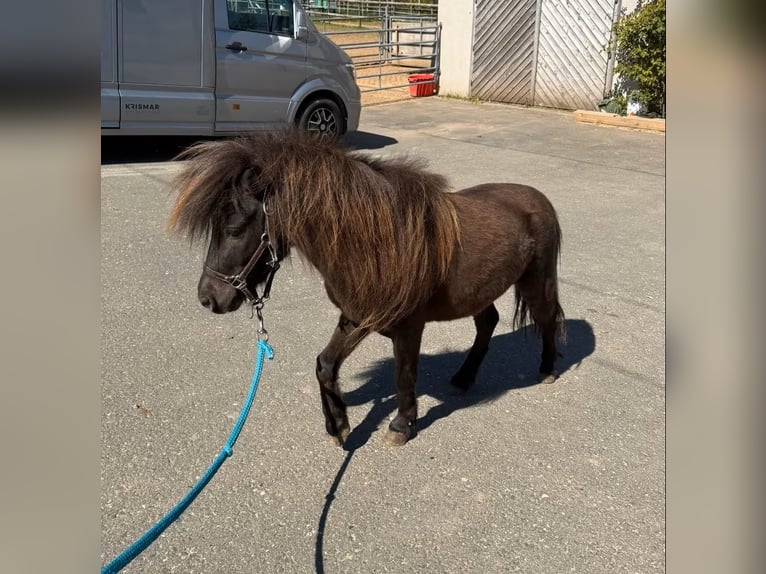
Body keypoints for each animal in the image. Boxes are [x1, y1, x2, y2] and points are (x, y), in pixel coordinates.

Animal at [167, 129, 565, 447]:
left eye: (234, 229)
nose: (209, 297)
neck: (381, 244)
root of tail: (540, 199)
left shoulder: (407, 327)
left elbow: (404, 374)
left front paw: (401, 425)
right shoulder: (357, 316)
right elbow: (325, 364)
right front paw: (338, 425)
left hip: (536, 282)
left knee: (547, 320)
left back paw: (547, 369)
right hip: (480, 291)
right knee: (488, 322)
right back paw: (463, 379)